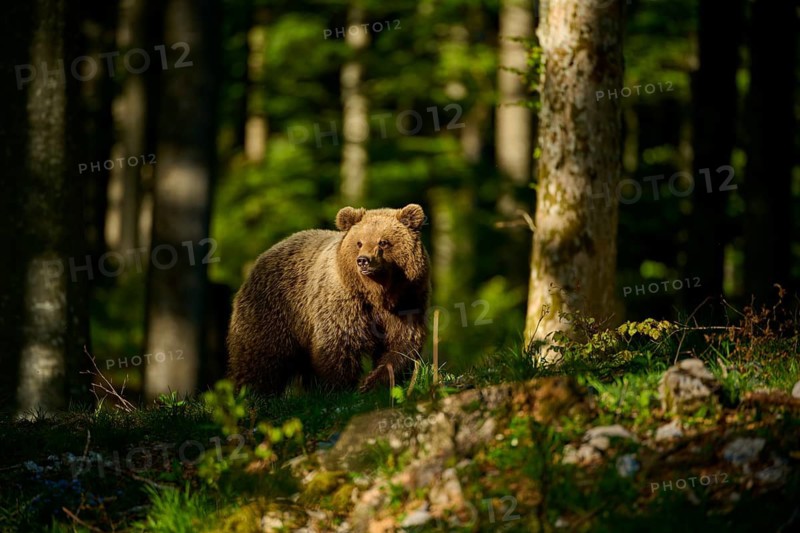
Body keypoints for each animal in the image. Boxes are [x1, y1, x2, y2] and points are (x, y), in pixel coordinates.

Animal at [227, 204, 430, 396]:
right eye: (359, 242)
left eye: (383, 242)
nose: (363, 260)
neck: (377, 294)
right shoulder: (345, 303)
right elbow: (338, 342)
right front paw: (341, 388)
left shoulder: (406, 301)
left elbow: (402, 343)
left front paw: (373, 383)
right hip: (272, 310)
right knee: (260, 356)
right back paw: (252, 392)